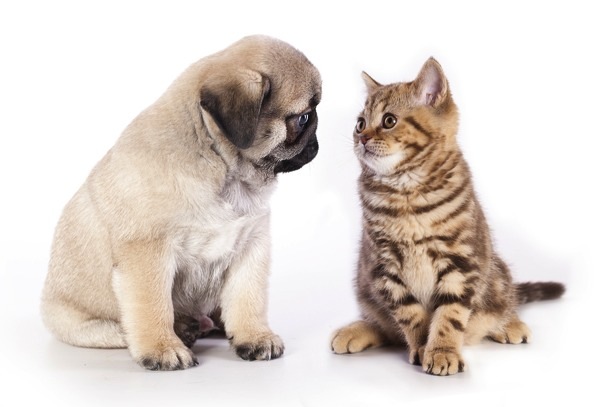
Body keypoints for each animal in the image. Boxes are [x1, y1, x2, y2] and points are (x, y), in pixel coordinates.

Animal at [41, 35, 324, 372]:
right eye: (303, 118)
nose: (317, 143)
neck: (222, 167)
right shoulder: (148, 254)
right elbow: (152, 306)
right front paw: (162, 348)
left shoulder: (251, 248)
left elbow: (248, 299)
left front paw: (254, 336)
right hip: (77, 323)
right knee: (119, 328)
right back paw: (183, 330)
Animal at [330, 57, 564, 376]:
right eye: (360, 123)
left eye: (389, 121)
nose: (362, 138)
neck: (406, 192)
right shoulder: (384, 266)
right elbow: (410, 315)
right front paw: (421, 347)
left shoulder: (460, 262)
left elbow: (449, 314)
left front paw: (442, 351)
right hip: (365, 285)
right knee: (386, 327)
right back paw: (355, 330)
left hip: (496, 275)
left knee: (501, 304)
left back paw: (509, 324)